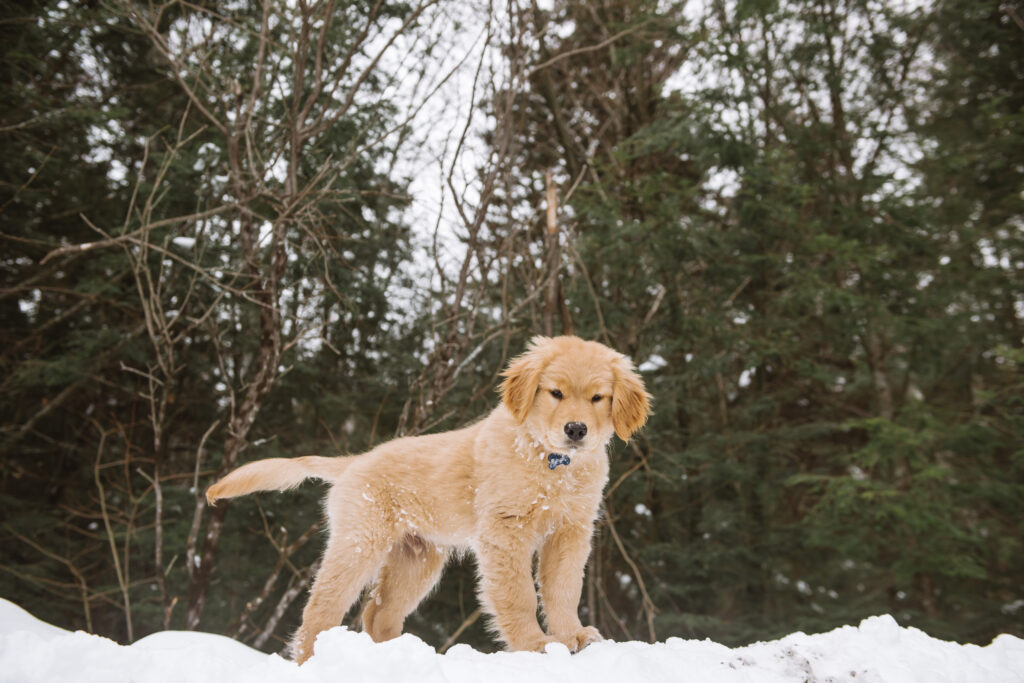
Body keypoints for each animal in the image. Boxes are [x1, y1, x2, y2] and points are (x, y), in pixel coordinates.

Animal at [206, 335, 647, 663]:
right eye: (555, 393)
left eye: (598, 398)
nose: (576, 430)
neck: (552, 463)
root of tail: (355, 461)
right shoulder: (507, 531)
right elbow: (519, 593)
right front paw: (534, 645)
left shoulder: (570, 532)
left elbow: (563, 588)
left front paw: (572, 634)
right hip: (360, 541)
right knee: (321, 608)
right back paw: (312, 660)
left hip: (417, 558)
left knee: (378, 614)